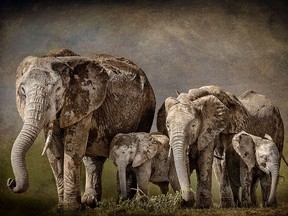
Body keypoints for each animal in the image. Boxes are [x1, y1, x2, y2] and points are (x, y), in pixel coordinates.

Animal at [6, 48, 155, 209]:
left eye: (57, 89)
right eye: (23, 91)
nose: (11, 182)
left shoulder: (84, 101)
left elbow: (73, 149)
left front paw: (71, 208)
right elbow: (55, 153)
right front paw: (62, 207)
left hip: (147, 108)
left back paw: (126, 202)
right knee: (92, 159)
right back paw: (90, 201)